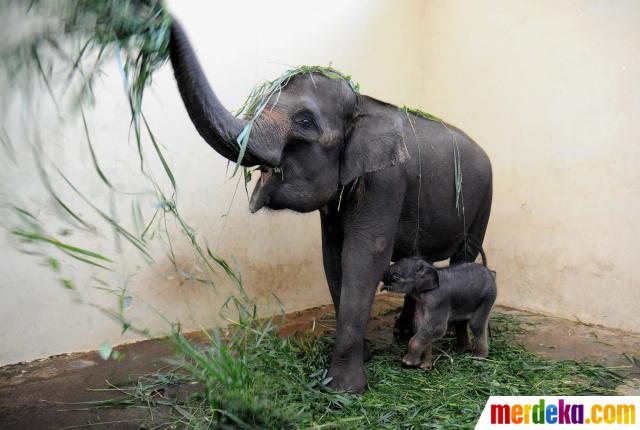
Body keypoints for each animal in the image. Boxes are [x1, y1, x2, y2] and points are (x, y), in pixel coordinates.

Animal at [168, 21, 492, 394]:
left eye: (305, 122)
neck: (363, 104)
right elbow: (333, 255)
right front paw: (363, 357)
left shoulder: (385, 180)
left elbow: (364, 256)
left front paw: (344, 389)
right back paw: (404, 333)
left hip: (484, 201)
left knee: (463, 256)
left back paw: (455, 337)